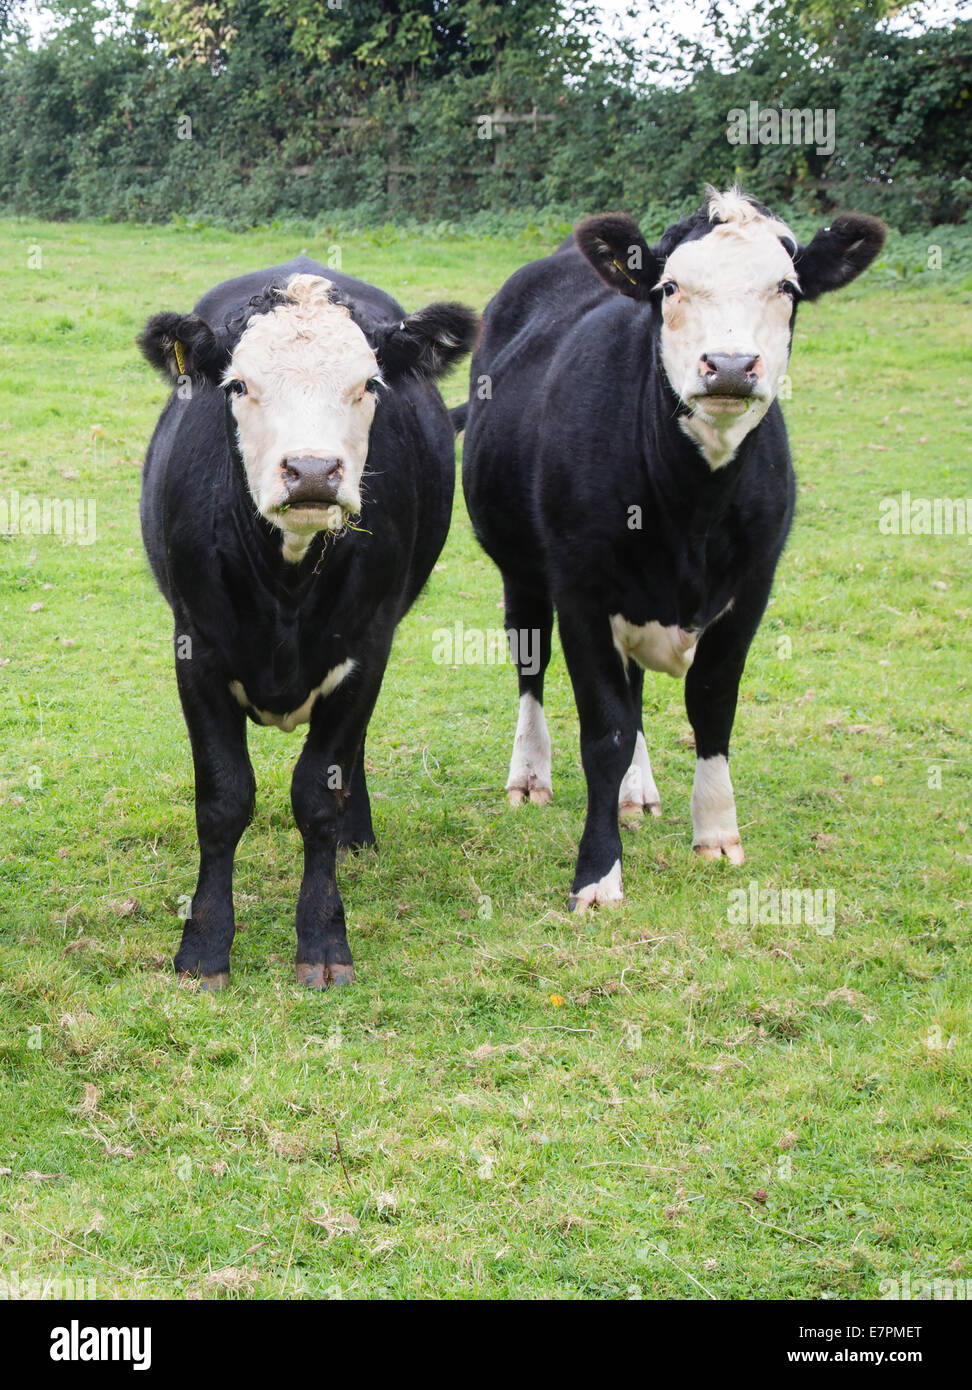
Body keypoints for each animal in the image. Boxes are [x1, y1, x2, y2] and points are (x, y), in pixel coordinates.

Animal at [140, 258, 478, 989]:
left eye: (368, 384)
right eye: (240, 384)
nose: (314, 470)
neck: (287, 584)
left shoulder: (366, 651)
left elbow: (319, 795)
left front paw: (323, 940)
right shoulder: (196, 649)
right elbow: (224, 800)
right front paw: (203, 949)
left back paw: (361, 836)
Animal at [458, 184, 884, 911]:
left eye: (787, 287)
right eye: (670, 287)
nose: (732, 366)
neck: (694, 509)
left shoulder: (752, 588)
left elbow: (709, 704)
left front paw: (715, 832)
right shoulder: (580, 591)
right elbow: (603, 731)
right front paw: (598, 874)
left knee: (633, 691)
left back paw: (637, 792)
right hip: (521, 571)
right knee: (530, 666)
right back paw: (531, 775)